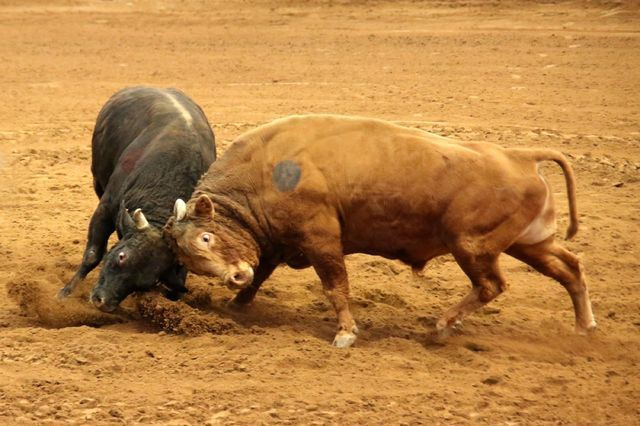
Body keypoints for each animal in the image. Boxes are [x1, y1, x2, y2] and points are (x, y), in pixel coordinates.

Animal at [161, 115, 596, 348]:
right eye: (189, 258)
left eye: (206, 237)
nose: (233, 277)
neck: (265, 172)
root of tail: (518, 156)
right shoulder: (275, 243)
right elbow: (262, 273)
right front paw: (238, 302)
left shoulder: (322, 240)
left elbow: (335, 287)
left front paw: (345, 333)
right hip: (529, 242)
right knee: (570, 269)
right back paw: (584, 325)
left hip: (472, 246)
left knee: (491, 285)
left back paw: (443, 325)